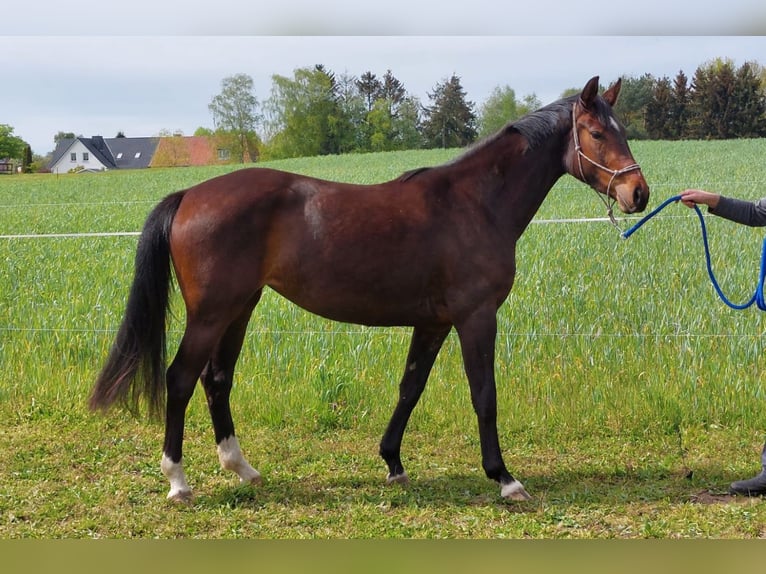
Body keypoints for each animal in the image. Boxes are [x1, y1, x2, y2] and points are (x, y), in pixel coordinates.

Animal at [93, 75, 652, 504]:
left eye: (621, 131)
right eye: (596, 133)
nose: (638, 193)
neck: (475, 203)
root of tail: (190, 194)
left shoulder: (433, 322)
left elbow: (410, 388)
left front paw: (393, 462)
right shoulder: (476, 318)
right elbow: (484, 394)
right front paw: (504, 478)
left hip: (239, 308)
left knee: (217, 380)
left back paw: (243, 468)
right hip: (211, 313)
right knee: (182, 379)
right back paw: (178, 481)